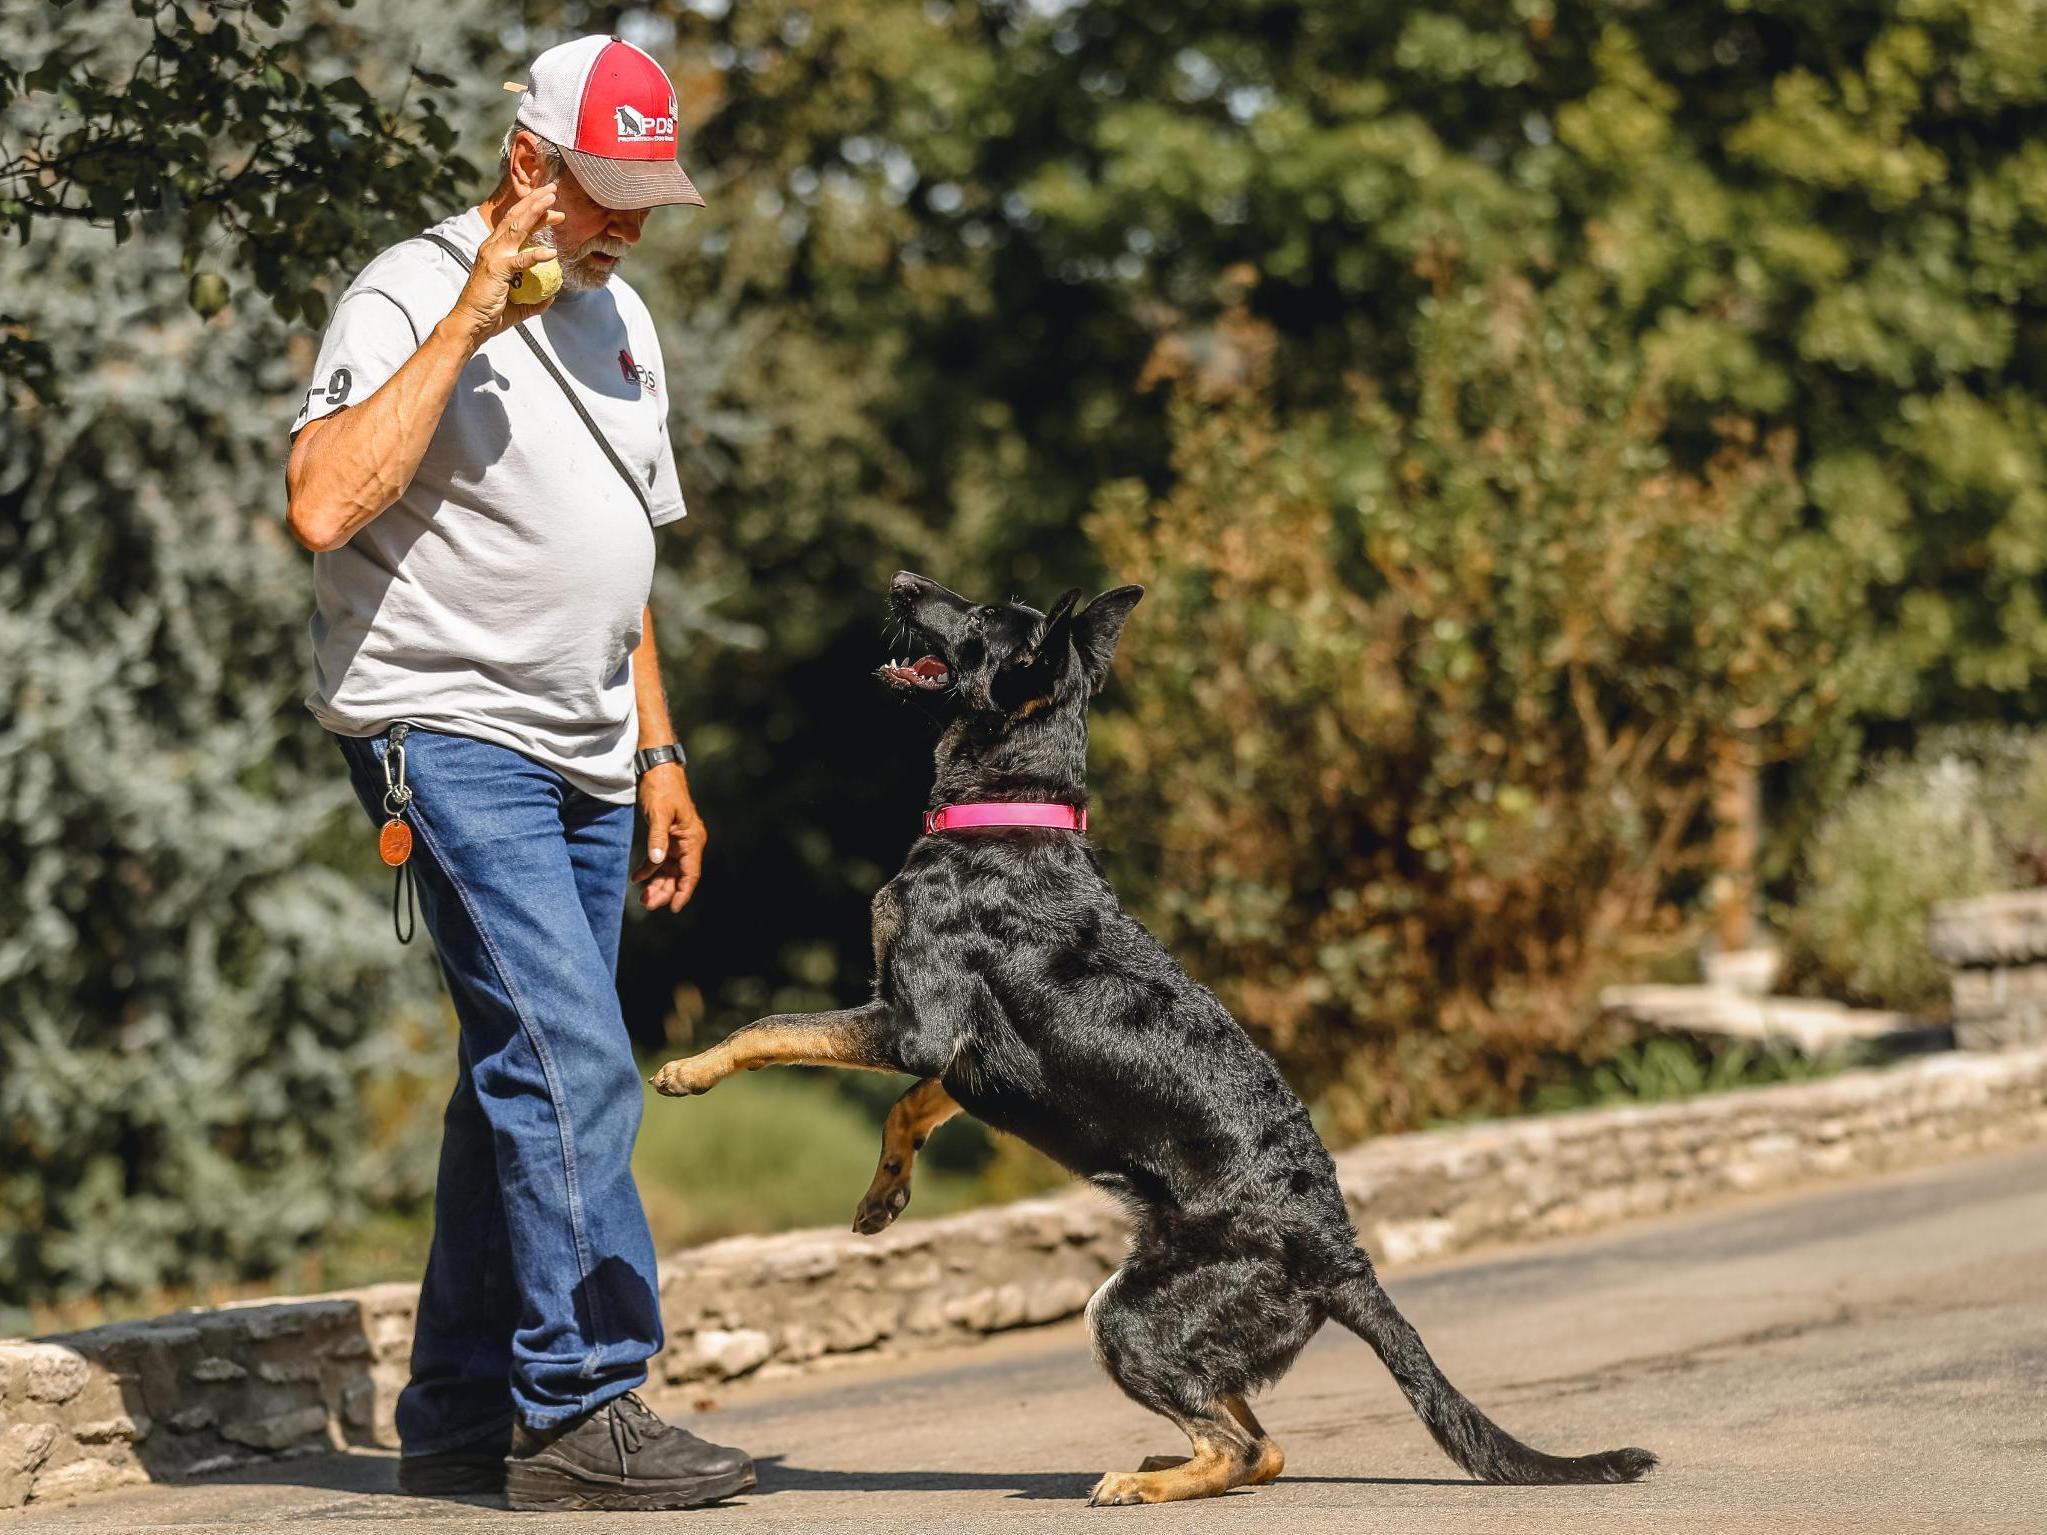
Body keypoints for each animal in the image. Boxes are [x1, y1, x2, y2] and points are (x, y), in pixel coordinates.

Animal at [659, 573, 1662, 1506]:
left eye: (977, 615)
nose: (904, 580)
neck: (1012, 811)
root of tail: (1342, 1256)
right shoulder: (957, 1061)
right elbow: (907, 1109)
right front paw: (882, 1199)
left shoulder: (917, 1024)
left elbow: (767, 1028)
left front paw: (686, 1069)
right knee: (1258, 1439)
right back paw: (1163, 1461)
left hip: (1124, 1315)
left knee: (1241, 1447)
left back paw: (1139, 1482)